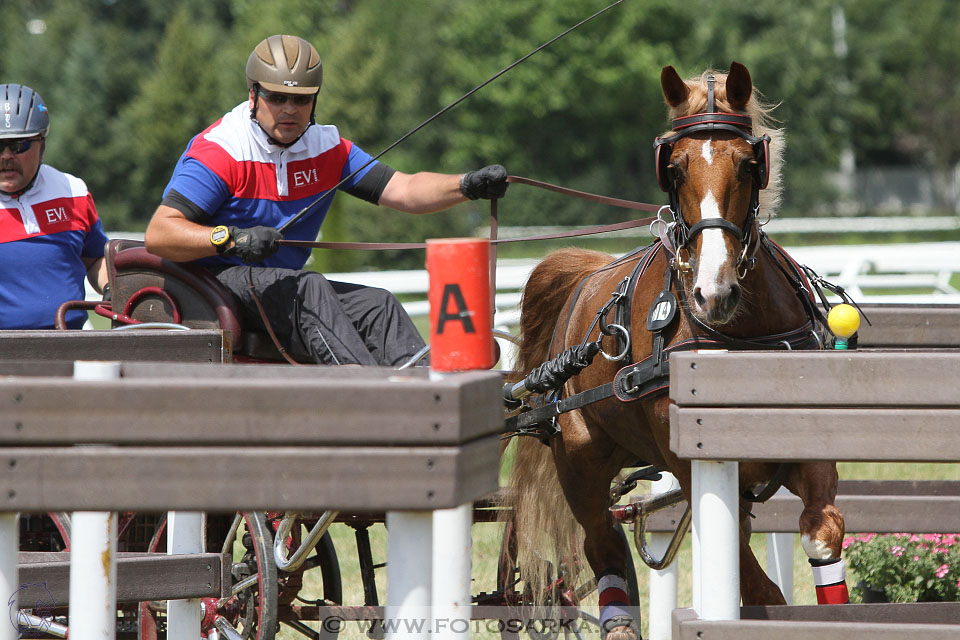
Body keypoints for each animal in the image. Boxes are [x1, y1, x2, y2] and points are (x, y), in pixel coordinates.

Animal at [510, 61, 848, 640]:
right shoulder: (694, 469)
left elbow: (822, 534)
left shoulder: (802, 450)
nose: (714, 292)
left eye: (747, 164)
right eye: (674, 167)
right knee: (602, 546)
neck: (741, 332)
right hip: (580, 465)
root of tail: (584, 278)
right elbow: (762, 591)